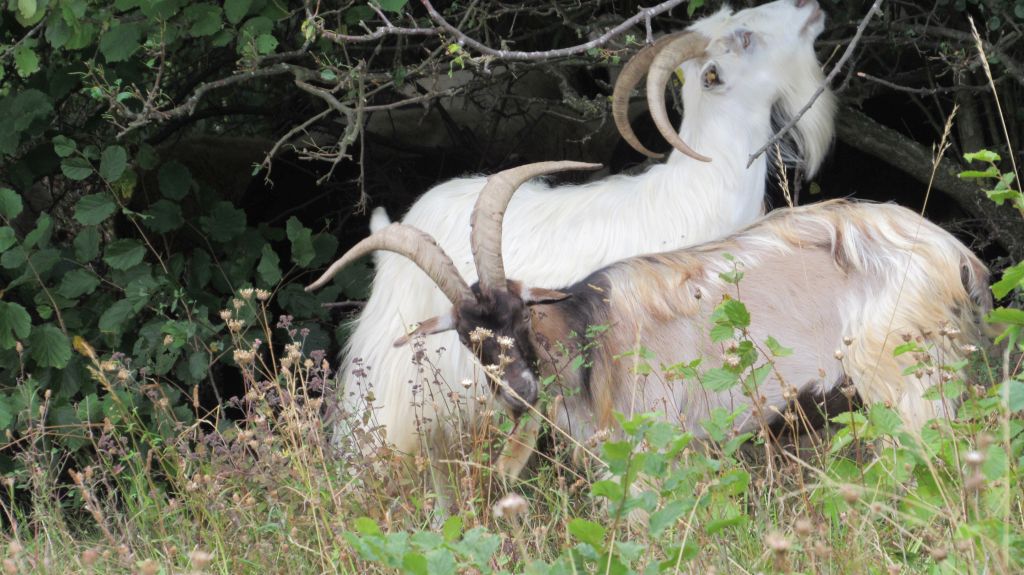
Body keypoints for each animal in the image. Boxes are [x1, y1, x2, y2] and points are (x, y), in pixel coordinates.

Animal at [312, 161, 991, 468]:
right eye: (469, 338)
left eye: (519, 316)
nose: (520, 391)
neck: (589, 334)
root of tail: (954, 255)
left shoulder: (655, 447)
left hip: (908, 387)